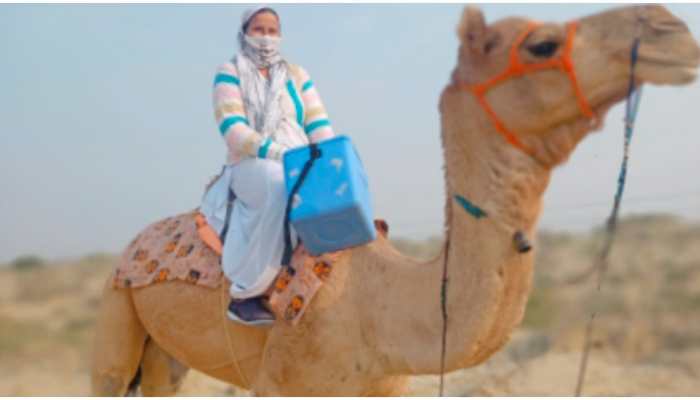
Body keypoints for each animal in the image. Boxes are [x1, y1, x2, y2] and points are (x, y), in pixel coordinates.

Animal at [90, 4, 696, 396]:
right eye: (541, 44)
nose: (671, 27)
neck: (383, 311)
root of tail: (132, 245)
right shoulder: (282, 382)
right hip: (118, 310)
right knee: (110, 376)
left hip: (166, 356)